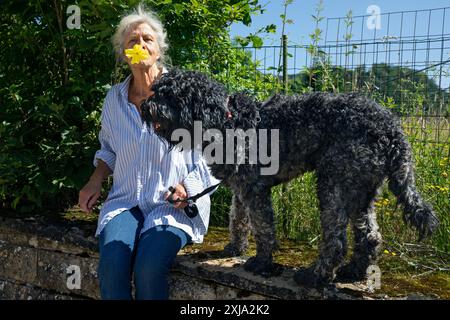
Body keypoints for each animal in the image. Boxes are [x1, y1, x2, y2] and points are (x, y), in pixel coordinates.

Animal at [139, 68, 438, 288]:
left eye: (172, 96)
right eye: (156, 91)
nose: (145, 105)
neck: (226, 122)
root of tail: (391, 129)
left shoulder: (255, 189)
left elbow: (262, 228)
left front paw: (261, 262)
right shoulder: (240, 189)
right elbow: (238, 220)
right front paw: (234, 249)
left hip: (334, 184)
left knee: (336, 241)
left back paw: (314, 276)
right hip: (361, 190)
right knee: (370, 235)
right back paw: (353, 271)